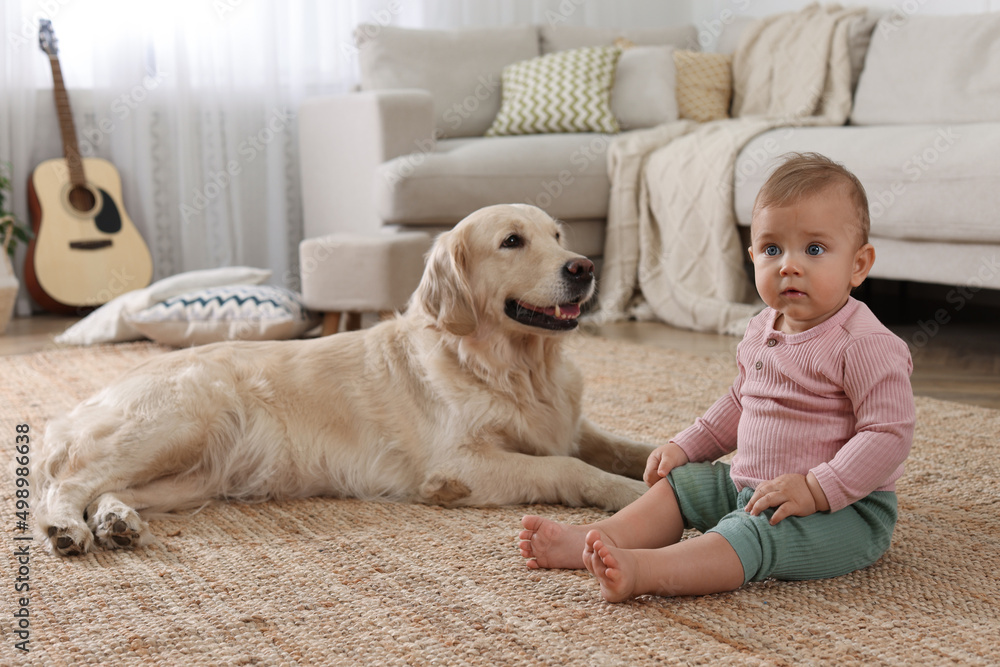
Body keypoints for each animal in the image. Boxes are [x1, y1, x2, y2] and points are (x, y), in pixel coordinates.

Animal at [33, 205, 656, 560]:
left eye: (557, 235)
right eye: (511, 241)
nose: (584, 267)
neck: (515, 368)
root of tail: (83, 405)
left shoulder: (572, 425)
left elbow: (626, 446)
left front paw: (659, 465)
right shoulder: (459, 465)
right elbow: (570, 468)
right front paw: (634, 495)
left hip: (195, 474)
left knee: (106, 488)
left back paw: (116, 521)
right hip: (186, 417)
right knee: (69, 482)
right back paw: (66, 528)